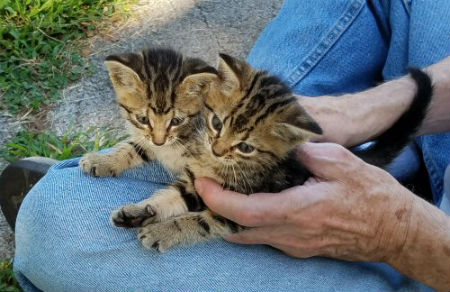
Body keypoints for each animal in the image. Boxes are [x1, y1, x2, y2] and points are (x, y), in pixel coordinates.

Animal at [110, 52, 432, 251]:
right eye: (217, 123)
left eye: (246, 147)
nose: (217, 149)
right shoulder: (194, 181)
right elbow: (173, 196)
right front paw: (142, 211)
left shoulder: (241, 208)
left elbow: (201, 220)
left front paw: (164, 232)